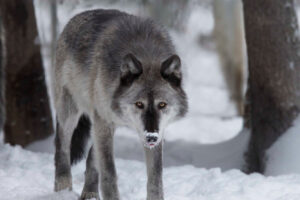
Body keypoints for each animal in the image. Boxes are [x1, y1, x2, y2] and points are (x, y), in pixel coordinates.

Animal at [52, 8, 186, 200]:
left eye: (162, 105)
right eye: (139, 104)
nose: (151, 137)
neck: (146, 55)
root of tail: (76, 17)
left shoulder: (157, 132)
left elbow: (156, 178)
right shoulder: (104, 122)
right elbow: (109, 173)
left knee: (91, 157)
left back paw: (90, 193)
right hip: (71, 113)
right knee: (62, 147)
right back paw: (63, 190)